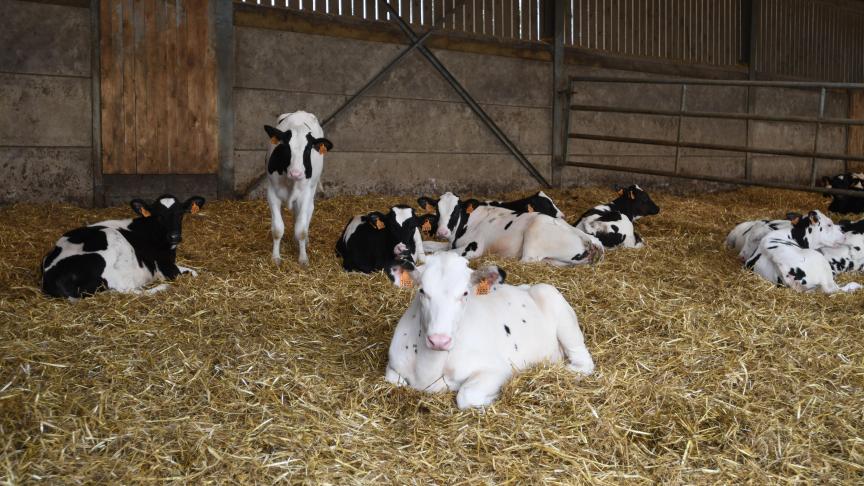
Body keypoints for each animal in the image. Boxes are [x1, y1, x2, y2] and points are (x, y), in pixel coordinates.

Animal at [41, 196, 205, 298]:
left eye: (181, 214)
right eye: (159, 215)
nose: (174, 236)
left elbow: (194, 272)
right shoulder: (165, 267)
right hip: (113, 240)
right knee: (128, 290)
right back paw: (162, 288)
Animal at [262, 110, 332, 266]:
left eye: (308, 149)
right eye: (286, 147)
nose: (296, 173)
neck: (290, 181)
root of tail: (301, 112)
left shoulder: (305, 194)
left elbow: (301, 229)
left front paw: (303, 258)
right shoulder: (272, 193)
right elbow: (277, 229)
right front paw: (275, 257)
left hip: (312, 188)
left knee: (308, 212)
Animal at [384, 252, 592, 408]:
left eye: (465, 293)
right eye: (422, 291)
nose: (439, 340)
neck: (428, 369)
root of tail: (527, 287)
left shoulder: (496, 369)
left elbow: (466, 396)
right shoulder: (393, 365)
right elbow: (395, 381)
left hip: (554, 303)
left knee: (583, 362)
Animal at [418, 192, 600, 266]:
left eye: (456, 210)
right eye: (437, 210)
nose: (442, 232)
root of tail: (585, 237)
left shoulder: (473, 248)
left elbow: (440, 254)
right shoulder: (450, 243)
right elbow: (428, 245)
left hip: (535, 231)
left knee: (527, 261)